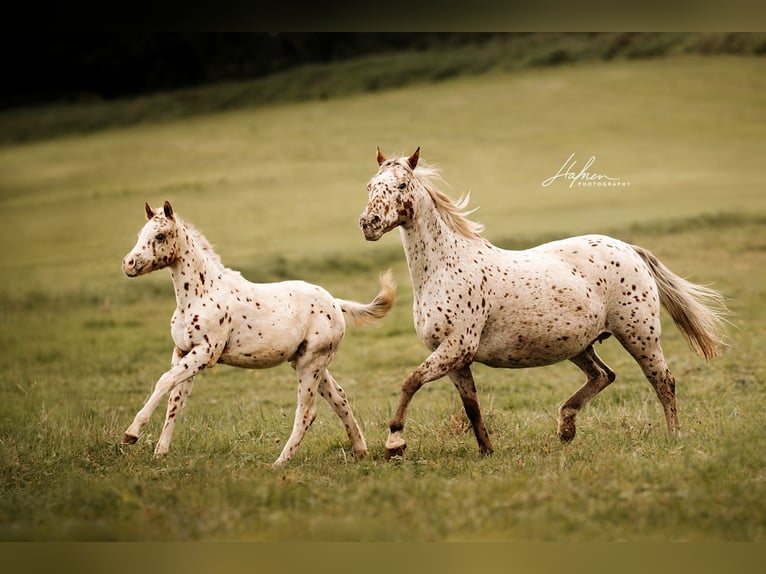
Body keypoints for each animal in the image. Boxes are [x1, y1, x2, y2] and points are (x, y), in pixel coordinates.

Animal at [122, 201, 396, 465]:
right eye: (139, 234)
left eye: (159, 235)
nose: (129, 264)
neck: (200, 293)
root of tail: (336, 303)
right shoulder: (183, 351)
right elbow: (175, 402)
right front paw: (160, 452)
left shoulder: (205, 354)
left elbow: (164, 381)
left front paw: (131, 434)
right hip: (309, 363)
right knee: (339, 398)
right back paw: (360, 451)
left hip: (310, 365)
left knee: (307, 412)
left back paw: (279, 462)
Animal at [359, 147, 728, 459]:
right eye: (370, 186)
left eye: (401, 184)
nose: (368, 223)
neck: (445, 267)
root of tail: (629, 249)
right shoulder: (456, 359)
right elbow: (471, 406)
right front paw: (487, 452)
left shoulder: (457, 347)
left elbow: (410, 381)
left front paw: (395, 443)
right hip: (579, 345)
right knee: (603, 376)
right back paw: (566, 428)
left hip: (640, 336)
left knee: (663, 380)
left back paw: (673, 436)